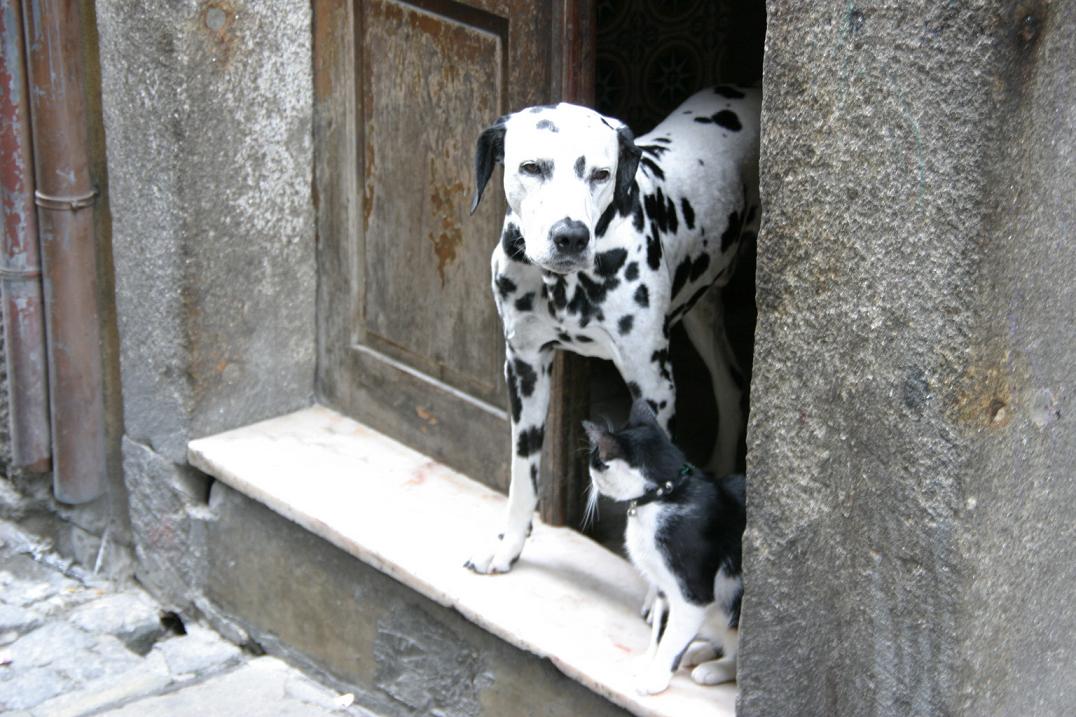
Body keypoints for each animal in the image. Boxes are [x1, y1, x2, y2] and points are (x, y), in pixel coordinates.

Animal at [466, 86, 761, 572]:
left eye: (600, 174)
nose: (570, 236)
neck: (564, 285)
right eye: (532, 167)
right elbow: (523, 473)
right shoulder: (524, 370)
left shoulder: (654, 386)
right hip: (701, 314)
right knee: (732, 385)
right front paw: (508, 544)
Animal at [585, 396, 744, 693]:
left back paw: (712, 668)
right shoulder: (661, 585)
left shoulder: (692, 592)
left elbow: (673, 638)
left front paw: (655, 678)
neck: (664, 494)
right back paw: (700, 652)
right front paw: (648, 661)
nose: (589, 480)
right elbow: (660, 626)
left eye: (594, 460)